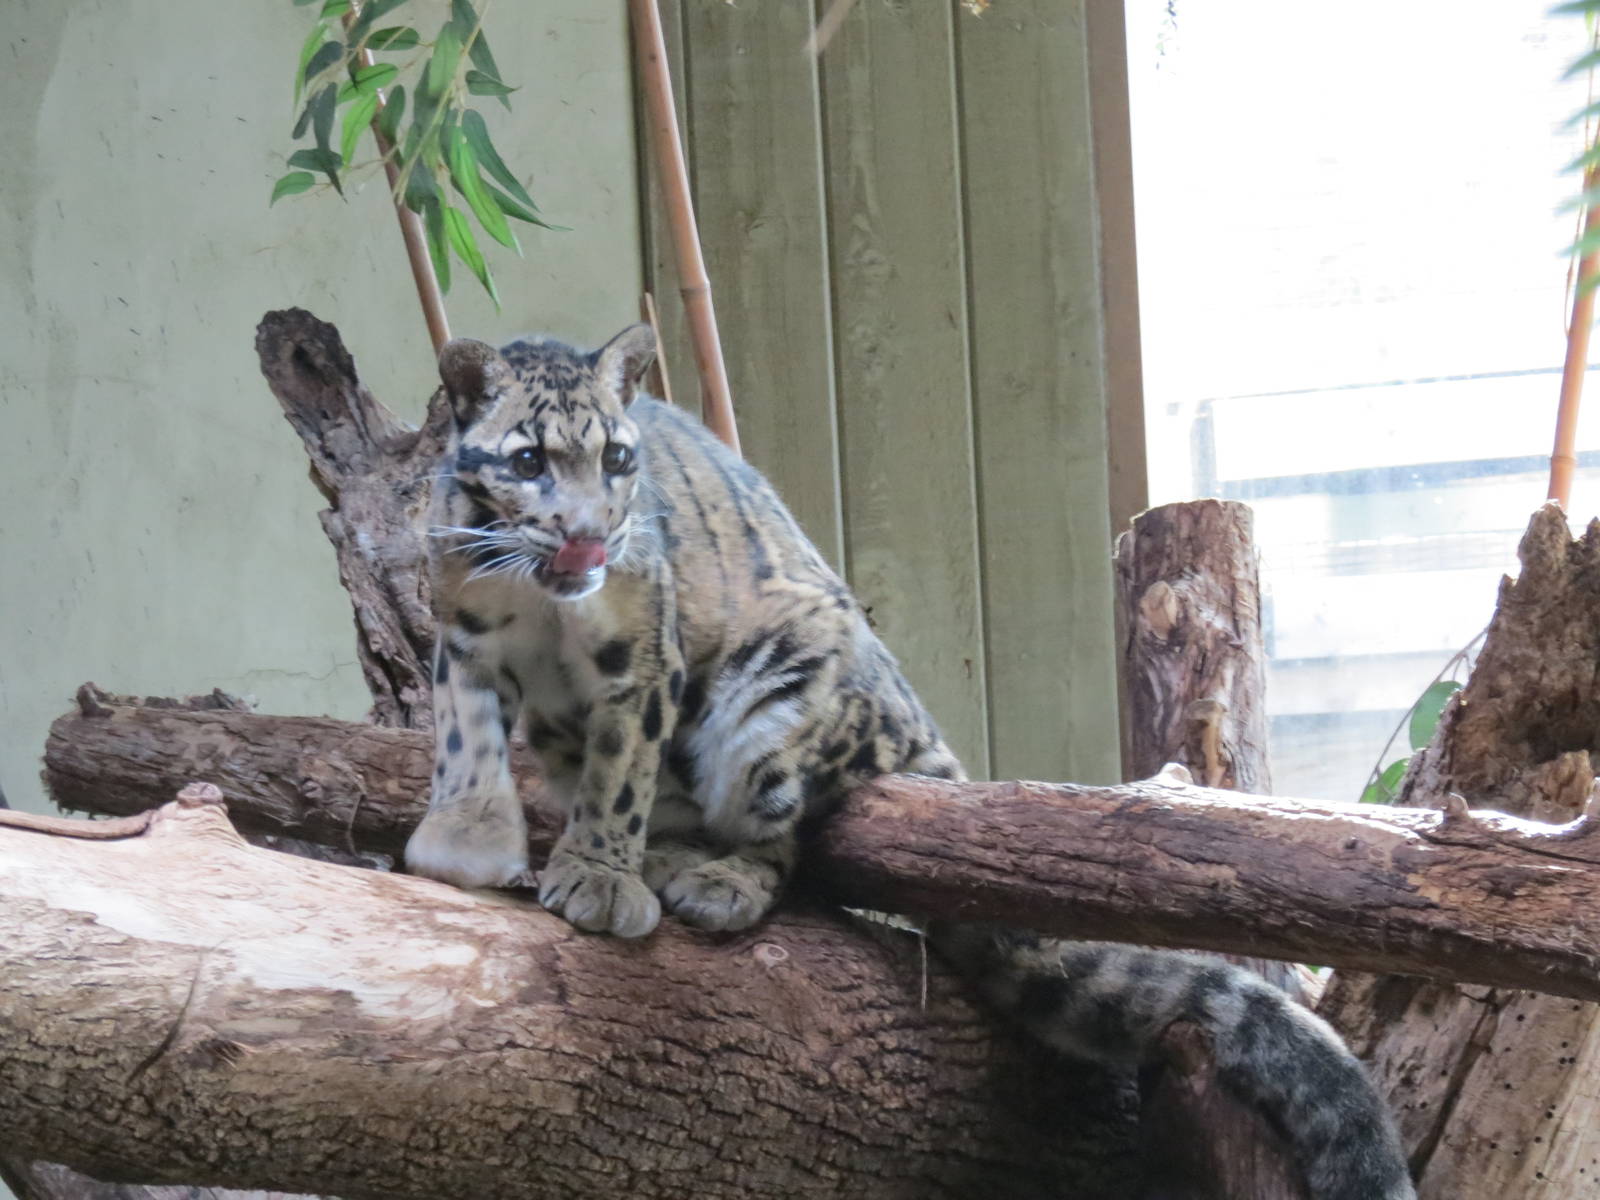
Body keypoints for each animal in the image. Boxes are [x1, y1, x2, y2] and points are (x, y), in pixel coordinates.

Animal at [403, 323, 1415, 1200]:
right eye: (529, 462)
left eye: (617, 459)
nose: (588, 534)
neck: (538, 604)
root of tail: (932, 747)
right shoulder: (466, 637)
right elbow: (465, 740)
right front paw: (466, 839)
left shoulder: (643, 658)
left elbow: (621, 772)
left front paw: (599, 875)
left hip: (772, 708)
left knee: (788, 843)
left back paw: (714, 879)